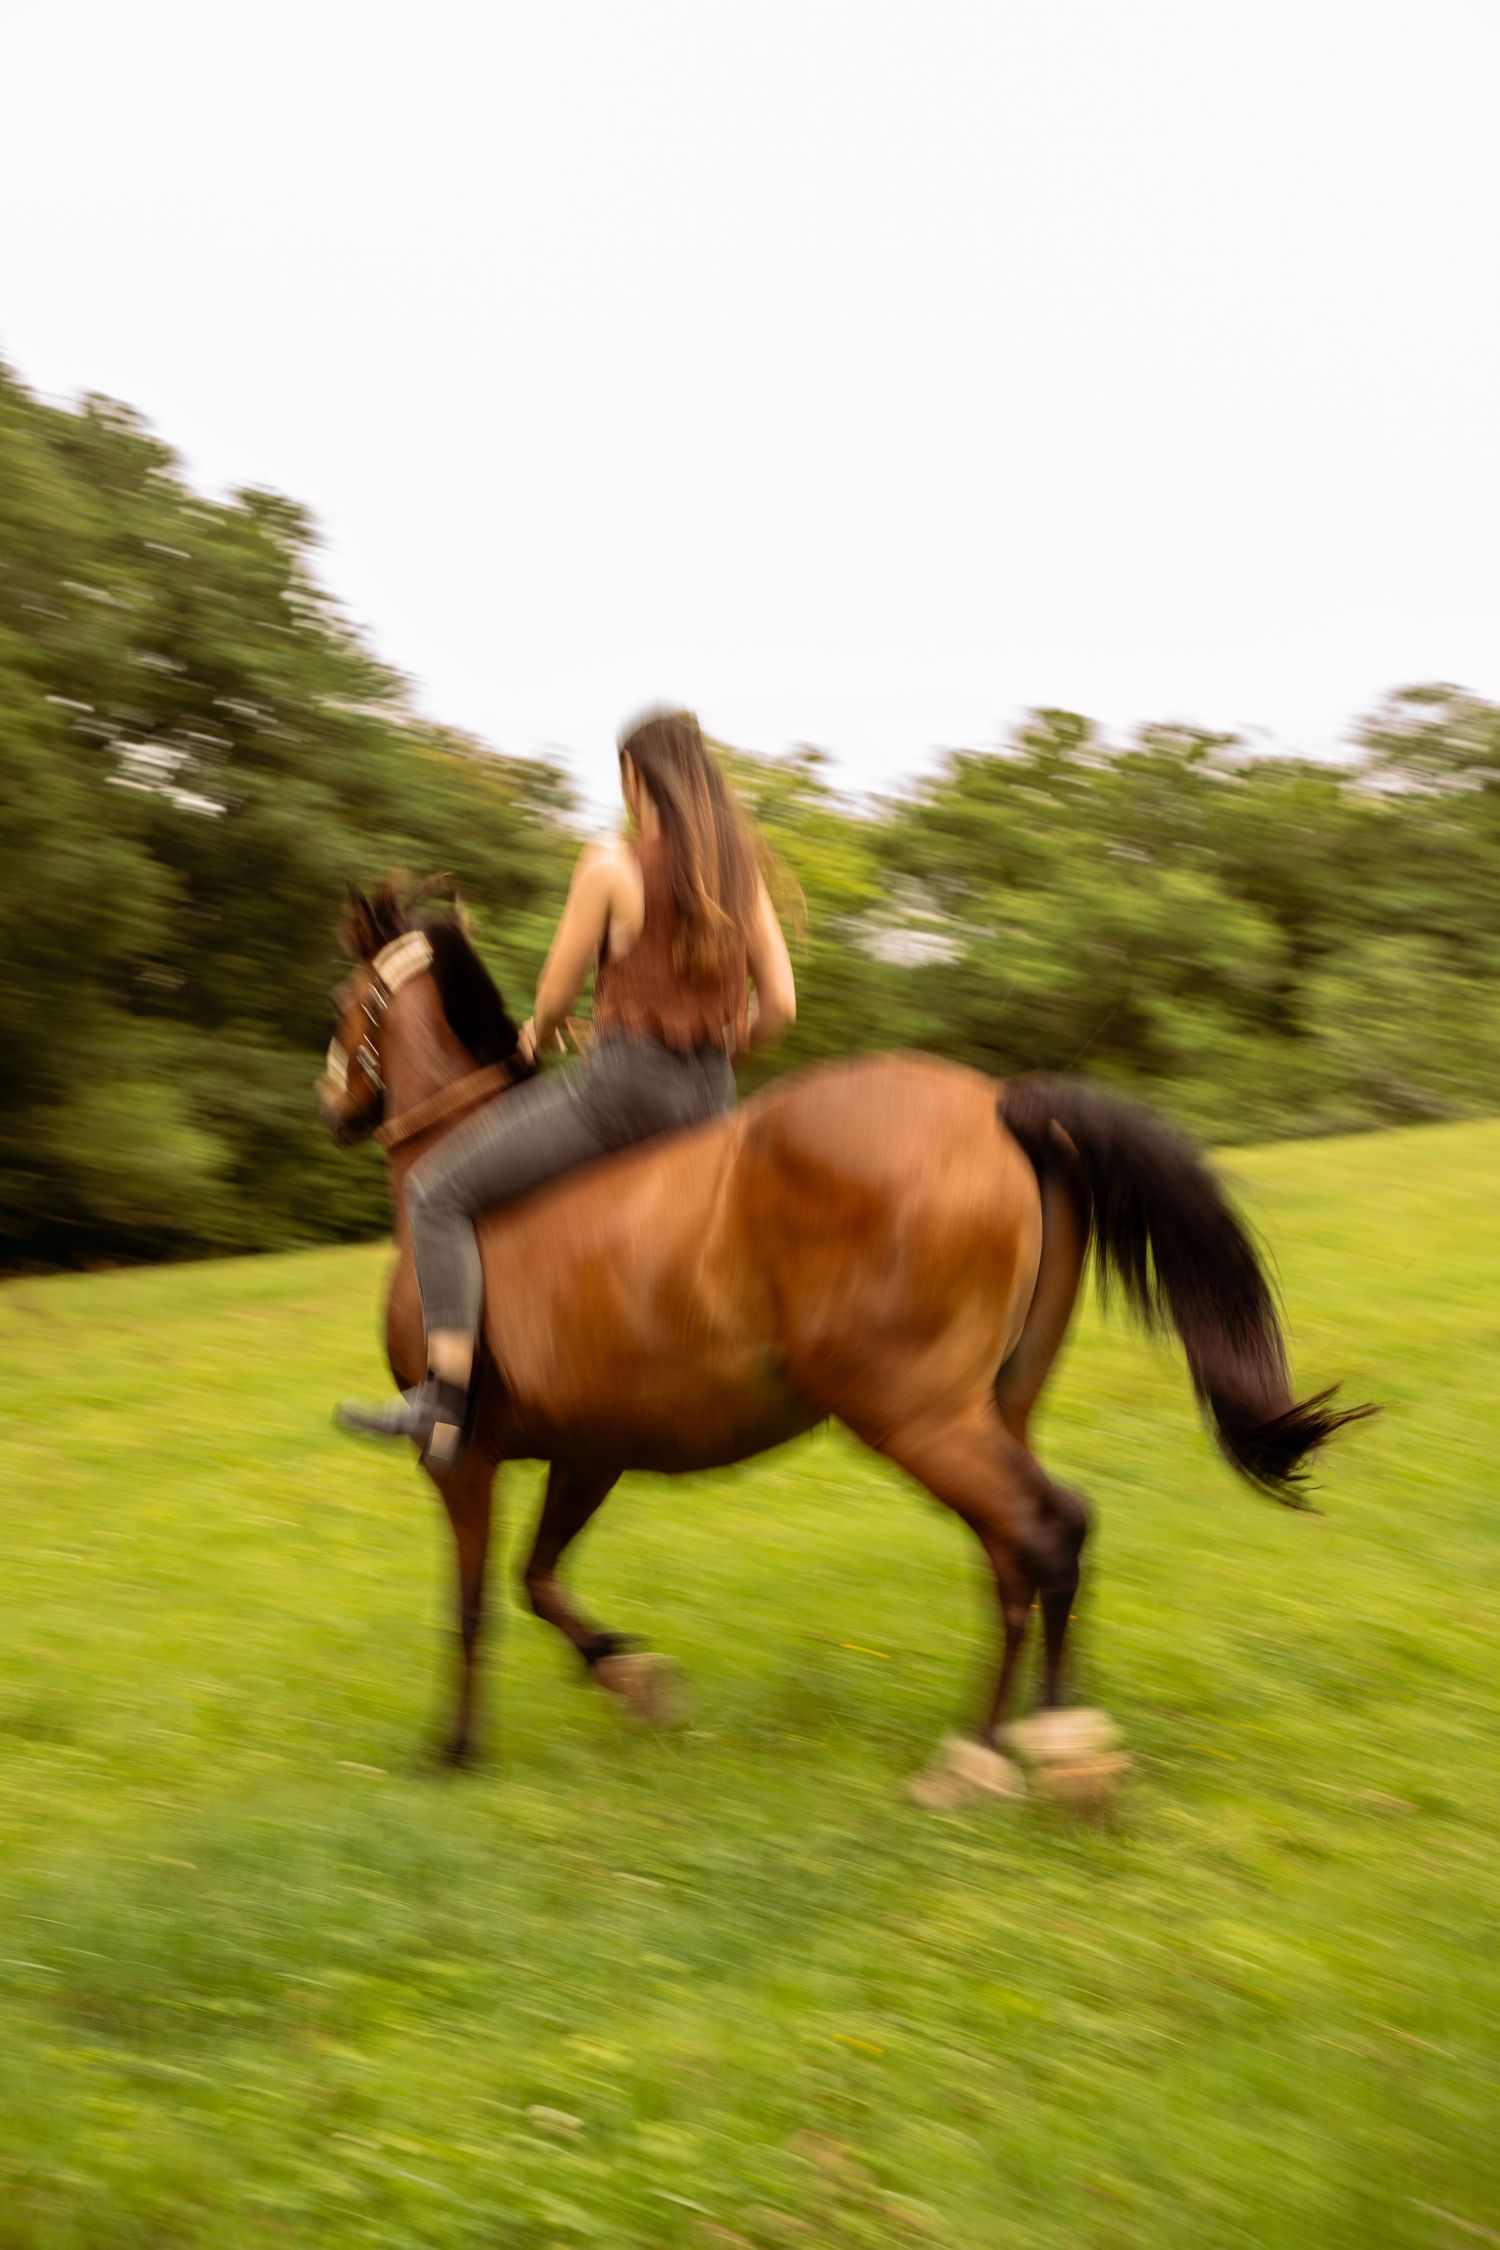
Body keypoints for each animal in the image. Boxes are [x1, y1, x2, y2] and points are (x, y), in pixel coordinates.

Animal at [320, 878, 1369, 1806]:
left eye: (341, 1003)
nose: (331, 1106)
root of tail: (995, 1104)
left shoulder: (461, 1457)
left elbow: (472, 1606)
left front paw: (454, 1751)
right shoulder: (591, 1452)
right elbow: (538, 1579)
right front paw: (633, 1677)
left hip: (915, 1413)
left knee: (1047, 1531)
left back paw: (1054, 1755)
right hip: (991, 1407)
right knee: (1016, 1555)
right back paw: (987, 1750)